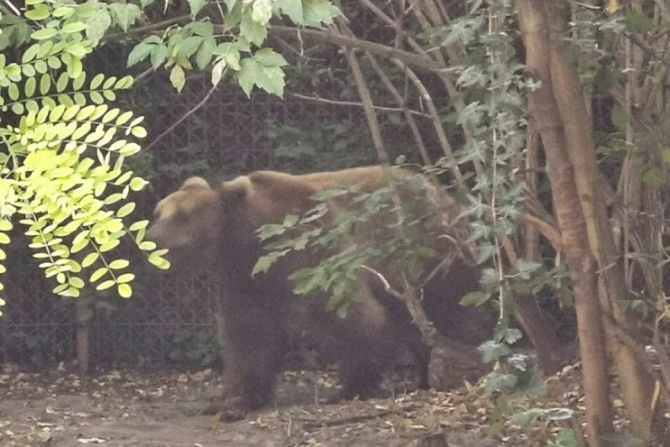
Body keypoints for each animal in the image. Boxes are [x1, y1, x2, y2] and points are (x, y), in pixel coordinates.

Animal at [147, 166, 490, 422]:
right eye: (159, 211)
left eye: (183, 216)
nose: (151, 238)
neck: (250, 241)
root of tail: (444, 193)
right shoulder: (246, 281)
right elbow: (248, 336)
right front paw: (233, 401)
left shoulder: (315, 252)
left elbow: (351, 315)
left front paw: (349, 387)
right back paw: (424, 374)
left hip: (431, 252)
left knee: (451, 306)